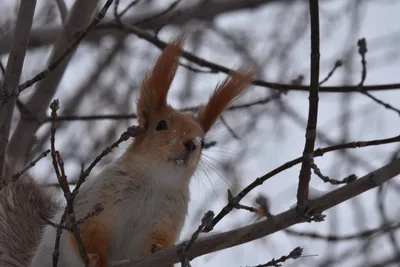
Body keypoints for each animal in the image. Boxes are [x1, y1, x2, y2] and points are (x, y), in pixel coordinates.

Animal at [0, 34, 253, 267]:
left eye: (203, 139)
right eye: (161, 125)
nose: (191, 143)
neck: (156, 180)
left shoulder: (166, 221)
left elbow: (160, 241)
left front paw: (156, 251)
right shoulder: (96, 204)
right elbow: (90, 233)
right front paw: (95, 259)